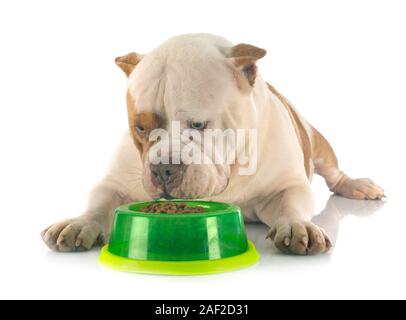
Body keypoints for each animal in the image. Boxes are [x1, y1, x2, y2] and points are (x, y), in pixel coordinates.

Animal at [41, 33, 384, 255]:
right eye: (140, 127)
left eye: (198, 125)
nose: (163, 169)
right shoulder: (115, 182)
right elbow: (98, 202)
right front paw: (80, 224)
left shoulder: (287, 185)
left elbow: (292, 203)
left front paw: (298, 226)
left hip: (317, 141)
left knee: (334, 171)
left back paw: (358, 186)